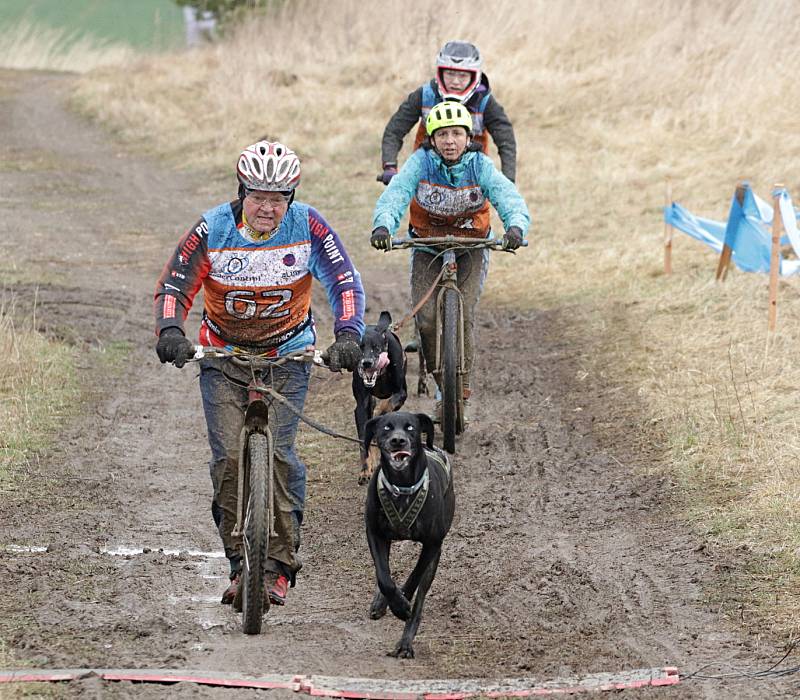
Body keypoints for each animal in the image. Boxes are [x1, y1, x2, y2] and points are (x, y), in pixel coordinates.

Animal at [354, 308, 406, 484]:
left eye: (376, 347)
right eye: (360, 347)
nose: (367, 363)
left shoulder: (401, 393)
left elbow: (387, 406)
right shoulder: (361, 406)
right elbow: (364, 441)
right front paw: (365, 470)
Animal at [364, 410, 454, 656]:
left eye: (410, 427)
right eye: (386, 427)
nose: (398, 441)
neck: (401, 487)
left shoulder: (433, 544)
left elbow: (414, 577)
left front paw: (402, 605)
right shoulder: (375, 534)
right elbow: (384, 577)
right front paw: (389, 601)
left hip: (435, 559)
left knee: (420, 599)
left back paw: (405, 643)